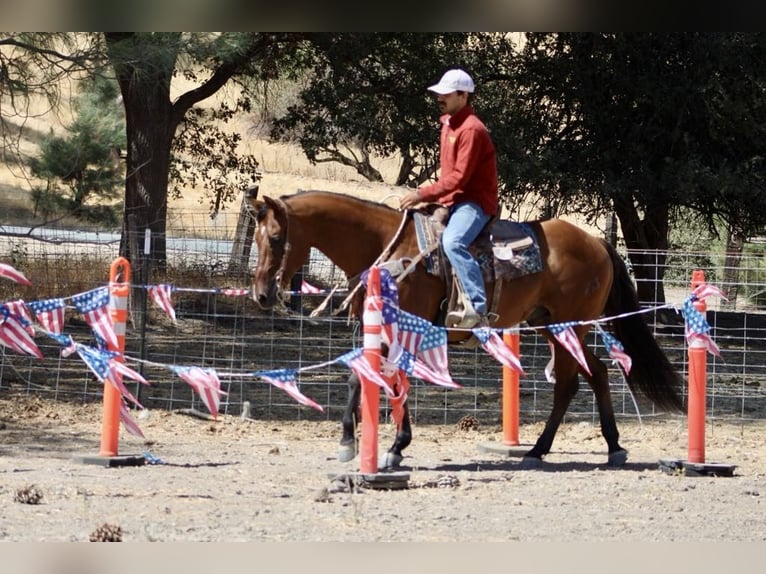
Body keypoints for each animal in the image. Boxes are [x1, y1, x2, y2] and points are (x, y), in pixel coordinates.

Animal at [248, 188, 684, 468]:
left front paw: (385, 446)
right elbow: (368, 378)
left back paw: (552, 448)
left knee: (573, 380)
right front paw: (361, 443)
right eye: (254, 236)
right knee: (591, 374)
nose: (262, 295)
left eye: (276, 236)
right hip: (550, 324)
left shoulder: (406, 328)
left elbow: (386, 380)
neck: (388, 249)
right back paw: (589, 447)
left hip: (569, 327)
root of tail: (597, 242)